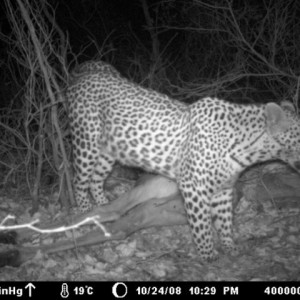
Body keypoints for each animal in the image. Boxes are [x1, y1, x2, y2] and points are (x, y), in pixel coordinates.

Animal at [66, 59, 300, 262]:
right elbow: (202, 224)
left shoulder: (224, 189)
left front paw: (230, 247)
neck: (248, 151)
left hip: (108, 153)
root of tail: (88, 71)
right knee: (79, 181)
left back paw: (102, 205)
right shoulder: (193, 186)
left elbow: (225, 221)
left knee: (96, 181)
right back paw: (86, 214)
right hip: (86, 142)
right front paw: (208, 255)